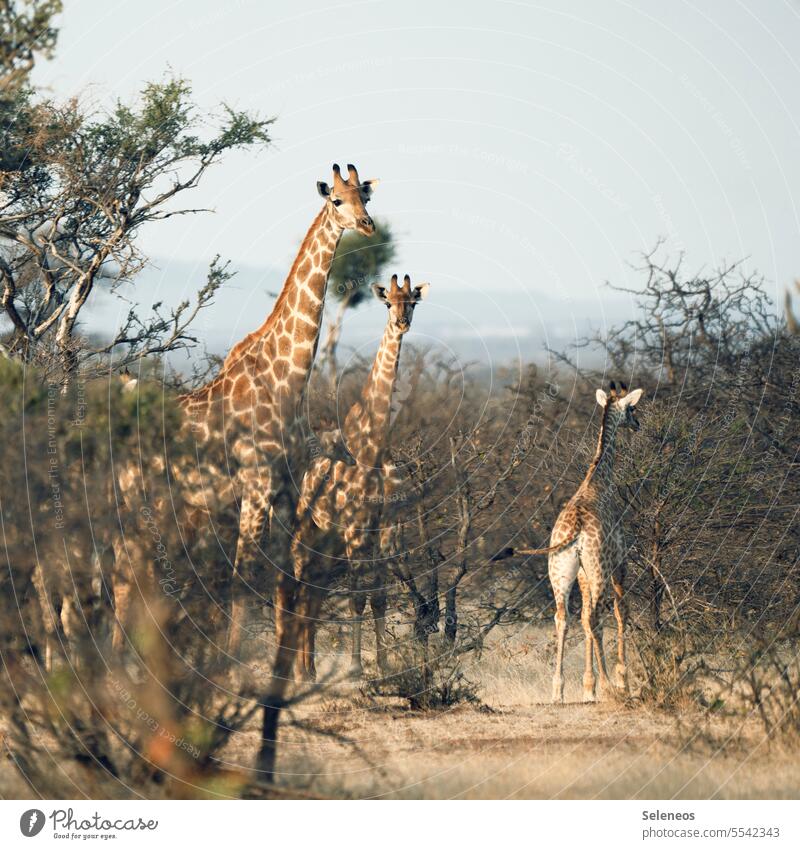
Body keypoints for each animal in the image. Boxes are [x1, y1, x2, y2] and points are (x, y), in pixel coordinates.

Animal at [286, 274, 424, 680]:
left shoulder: (385, 530)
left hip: (326, 538)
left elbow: (378, 597)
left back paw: (310, 669)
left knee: (311, 594)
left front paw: (382, 664)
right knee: (298, 589)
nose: (402, 323)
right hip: (305, 529)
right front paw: (354, 667)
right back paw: (298, 672)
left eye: (413, 301)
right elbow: (356, 598)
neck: (373, 447)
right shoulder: (354, 530)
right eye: (387, 302)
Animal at [552, 382, 644, 704]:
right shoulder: (620, 562)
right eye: (632, 408)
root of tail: (576, 531)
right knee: (595, 618)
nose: (638, 424)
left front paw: (587, 685)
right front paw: (621, 678)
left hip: (561, 572)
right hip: (601, 570)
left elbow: (582, 619)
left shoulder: (582, 574)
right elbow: (621, 611)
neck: (598, 479)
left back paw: (558, 689)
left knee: (564, 617)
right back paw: (608, 685)